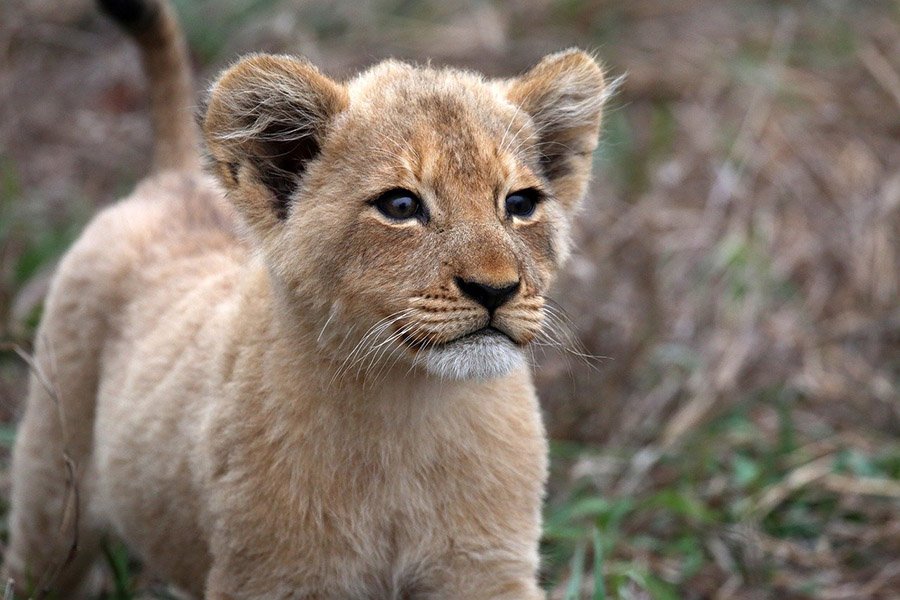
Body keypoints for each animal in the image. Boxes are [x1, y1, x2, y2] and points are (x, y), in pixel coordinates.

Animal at [4, 0, 608, 597]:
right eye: (400, 206)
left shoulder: (486, 568)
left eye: (520, 203)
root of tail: (173, 180)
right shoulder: (273, 577)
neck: (409, 409)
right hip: (50, 496)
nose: (496, 289)